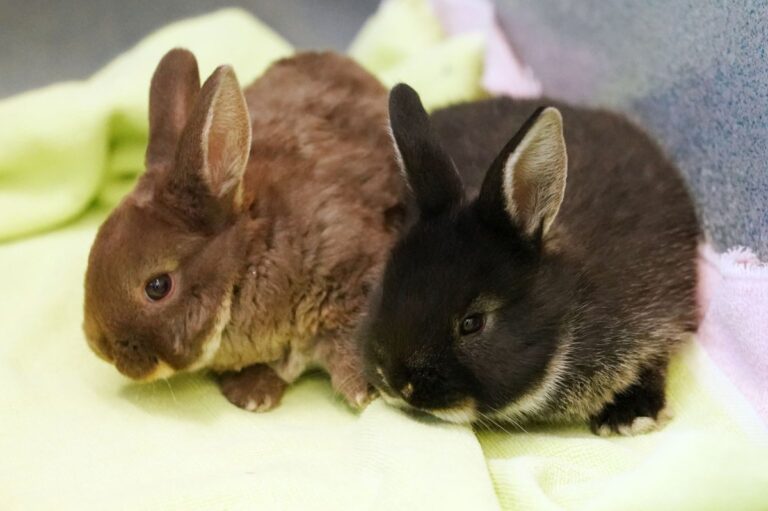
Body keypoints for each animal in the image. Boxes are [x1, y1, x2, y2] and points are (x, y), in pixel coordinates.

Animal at [83, 49, 406, 412]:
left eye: (157, 286)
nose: (100, 347)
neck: (245, 266)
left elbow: (351, 339)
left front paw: (363, 391)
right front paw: (252, 395)